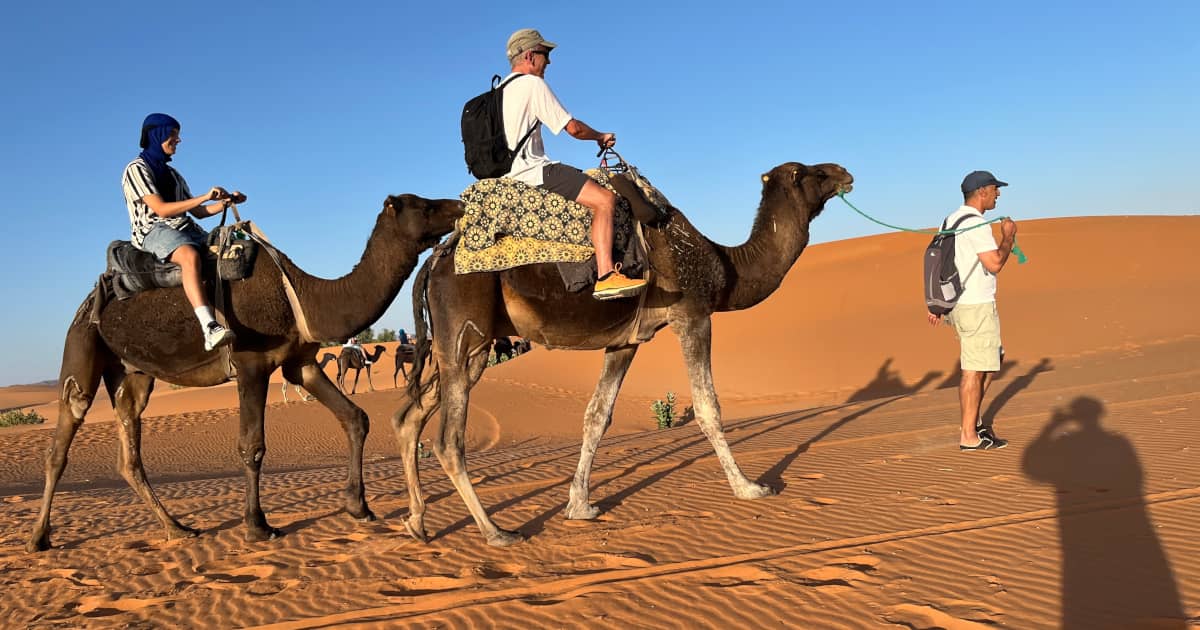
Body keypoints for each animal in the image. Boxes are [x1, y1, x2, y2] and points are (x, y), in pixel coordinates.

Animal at [27, 194, 462, 552]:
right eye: (424, 206)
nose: (458, 204)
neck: (301, 295)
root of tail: (93, 295)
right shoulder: (252, 363)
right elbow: (252, 445)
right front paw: (258, 526)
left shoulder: (300, 362)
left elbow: (355, 418)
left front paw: (359, 506)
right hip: (82, 344)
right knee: (62, 439)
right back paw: (38, 538)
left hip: (132, 371)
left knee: (129, 446)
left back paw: (177, 528)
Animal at [395, 161, 853, 546]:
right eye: (809, 173)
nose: (844, 172)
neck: (722, 265)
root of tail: (434, 261)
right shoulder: (693, 314)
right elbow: (708, 408)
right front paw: (750, 487)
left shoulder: (625, 341)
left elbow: (597, 417)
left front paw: (580, 506)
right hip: (465, 331)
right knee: (448, 440)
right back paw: (495, 531)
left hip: (464, 348)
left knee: (409, 416)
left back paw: (417, 522)